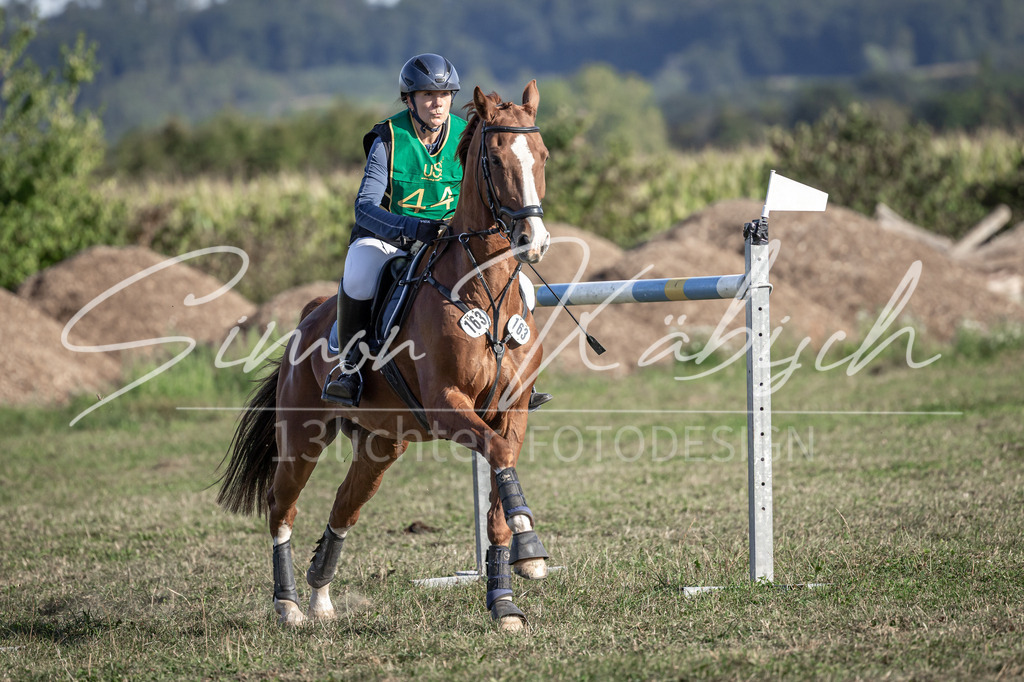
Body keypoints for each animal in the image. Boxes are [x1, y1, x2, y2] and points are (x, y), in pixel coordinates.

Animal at [216, 81, 552, 633]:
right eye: (496, 158)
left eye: (542, 156)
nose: (534, 241)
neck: (482, 291)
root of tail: (307, 318)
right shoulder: (446, 404)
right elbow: (500, 460)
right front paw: (530, 542)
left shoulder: (512, 408)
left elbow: (500, 486)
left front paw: (507, 595)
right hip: (303, 438)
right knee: (281, 507)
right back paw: (289, 605)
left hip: (380, 444)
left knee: (343, 508)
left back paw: (320, 594)